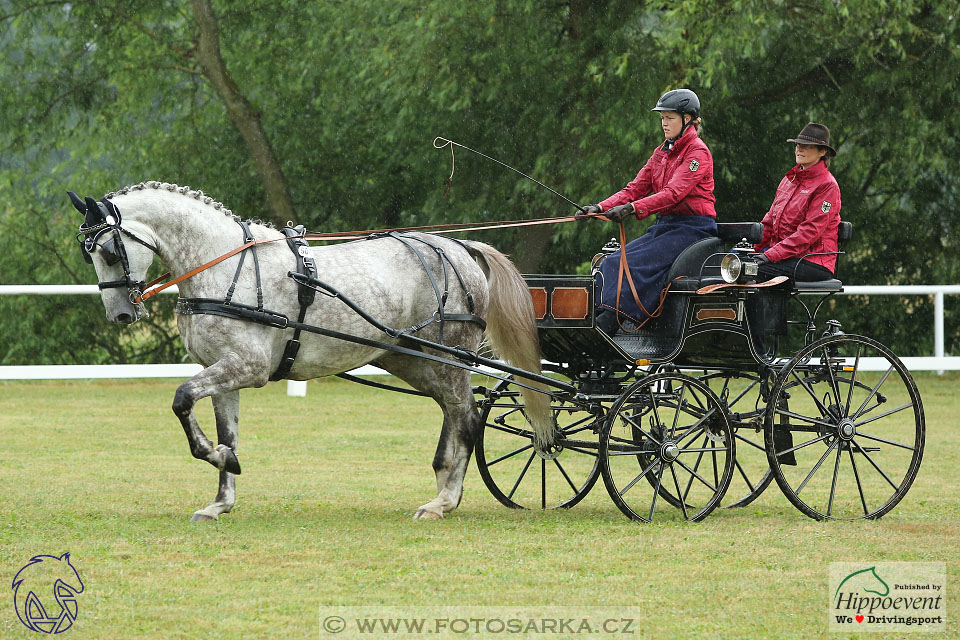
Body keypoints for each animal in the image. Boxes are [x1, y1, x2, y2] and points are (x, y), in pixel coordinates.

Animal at [71, 181, 552, 520]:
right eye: (87, 253)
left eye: (110, 251)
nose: (121, 315)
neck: (225, 265)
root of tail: (459, 246)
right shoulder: (223, 370)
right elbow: (227, 432)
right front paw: (221, 496)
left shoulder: (248, 366)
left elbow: (182, 399)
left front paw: (220, 461)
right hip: (412, 358)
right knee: (453, 411)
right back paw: (442, 489)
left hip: (451, 357)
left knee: (468, 418)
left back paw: (445, 502)